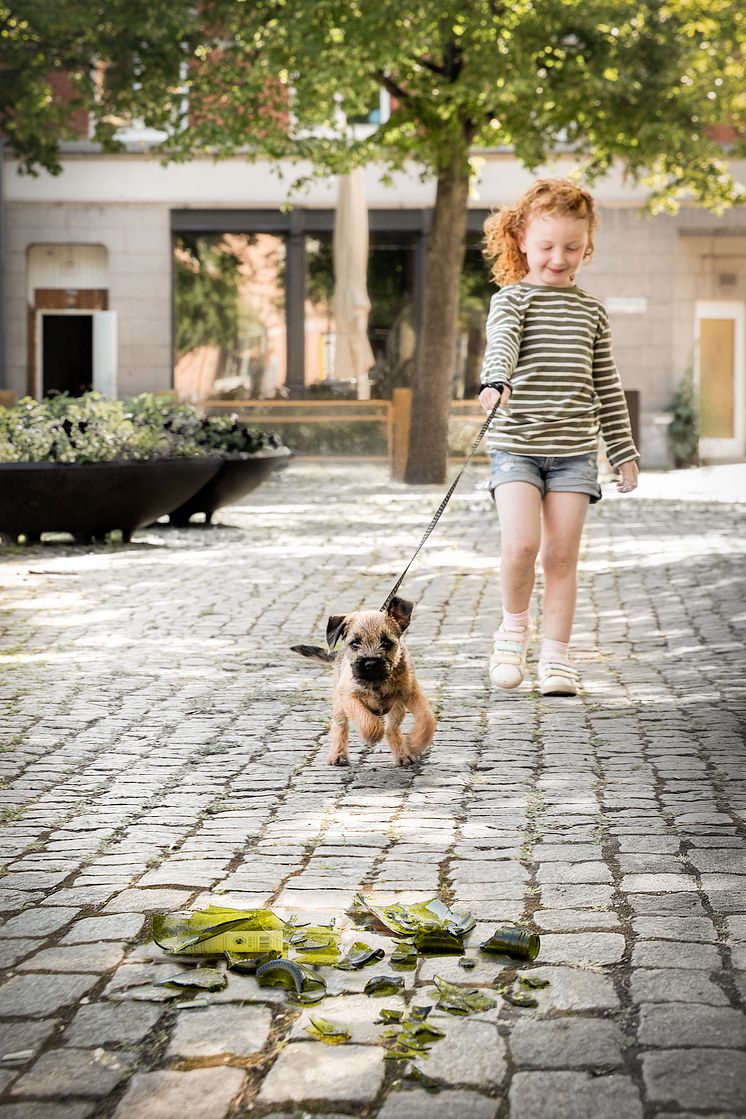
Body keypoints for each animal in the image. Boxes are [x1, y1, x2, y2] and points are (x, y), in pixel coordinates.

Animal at [290, 595, 433, 769]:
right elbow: (366, 719)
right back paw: (337, 755)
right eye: (355, 643)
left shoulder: (412, 693)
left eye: (386, 642)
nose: (370, 663)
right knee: (340, 726)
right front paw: (373, 734)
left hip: (397, 708)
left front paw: (417, 742)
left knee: (392, 728)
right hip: (339, 706)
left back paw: (403, 755)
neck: (377, 683)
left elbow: (427, 718)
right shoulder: (349, 696)